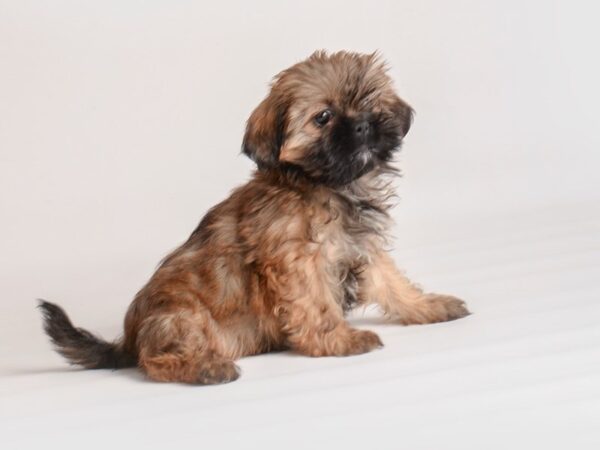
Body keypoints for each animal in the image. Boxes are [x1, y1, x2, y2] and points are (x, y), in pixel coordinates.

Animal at [39, 51, 472, 384]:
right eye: (324, 117)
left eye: (370, 102)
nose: (364, 125)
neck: (323, 185)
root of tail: (129, 340)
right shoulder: (299, 261)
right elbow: (317, 305)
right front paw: (339, 340)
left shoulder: (362, 248)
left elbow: (392, 282)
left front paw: (427, 306)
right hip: (182, 316)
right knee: (155, 362)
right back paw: (203, 368)